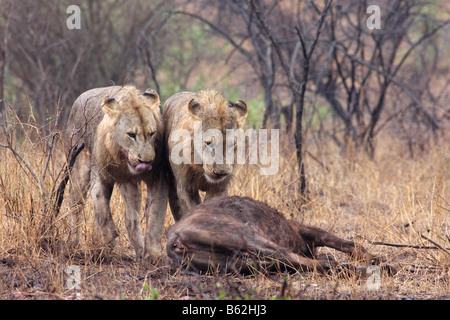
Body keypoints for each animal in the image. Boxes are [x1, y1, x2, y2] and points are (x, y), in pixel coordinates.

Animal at [64, 85, 168, 262]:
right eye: (131, 135)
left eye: (152, 133)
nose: (146, 161)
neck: (122, 160)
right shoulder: (99, 174)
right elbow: (102, 209)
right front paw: (109, 237)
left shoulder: (157, 178)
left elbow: (154, 215)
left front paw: (152, 254)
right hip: (79, 167)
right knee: (74, 202)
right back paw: (73, 243)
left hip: (129, 185)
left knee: (131, 220)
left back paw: (140, 251)